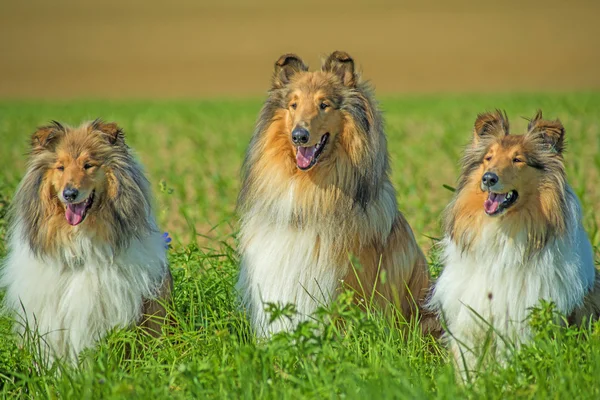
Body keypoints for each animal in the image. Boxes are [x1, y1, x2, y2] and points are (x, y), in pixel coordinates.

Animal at [432, 109, 600, 376]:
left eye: (518, 160)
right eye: (488, 158)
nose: (488, 178)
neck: (501, 232)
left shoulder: (517, 326)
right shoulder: (469, 324)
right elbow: (468, 367)